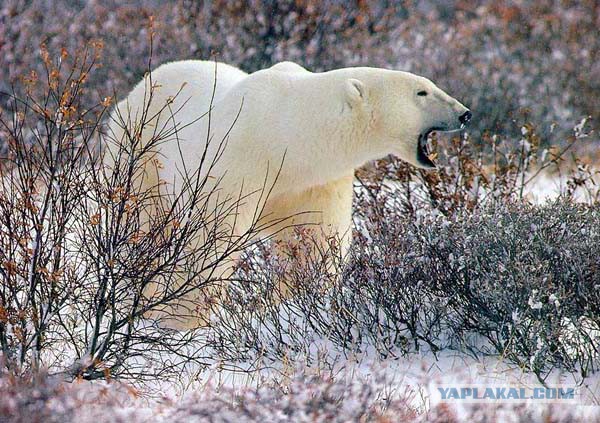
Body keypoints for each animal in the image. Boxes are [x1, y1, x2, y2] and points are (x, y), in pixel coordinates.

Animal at [109, 60, 474, 332]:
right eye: (421, 91)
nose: (465, 113)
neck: (287, 134)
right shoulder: (238, 158)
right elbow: (213, 236)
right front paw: (177, 317)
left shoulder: (315, 181)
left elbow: (316, 241)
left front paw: (293, 304)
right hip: (140, 146)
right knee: (140, 217)